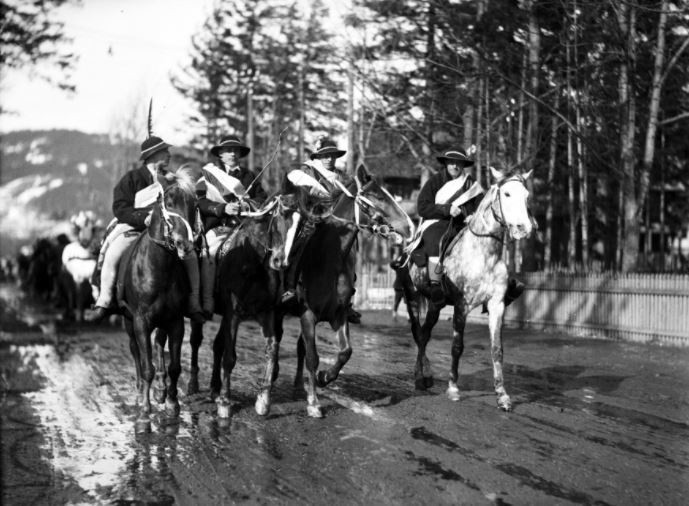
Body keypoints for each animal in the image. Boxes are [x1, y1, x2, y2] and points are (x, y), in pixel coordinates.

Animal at [117, 169, 199, 426]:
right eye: (169, 203)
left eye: (194, 204)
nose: (185, 243)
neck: (160, 268)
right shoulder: (141, 321)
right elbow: (146, 367)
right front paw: (144, 412)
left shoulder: (175, 321)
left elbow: (174, 366)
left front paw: (172, 404)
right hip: (129, 321)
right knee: (136, 352)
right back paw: (139, 391)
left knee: (159, 345)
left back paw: (161, 391)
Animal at [276, 164, 416, 418]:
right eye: (378, 196)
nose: (409, 226)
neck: (330, 259)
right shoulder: (308, 315)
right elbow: (313, 357)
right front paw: (314, 402)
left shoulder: (338, 314)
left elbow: (345, 352)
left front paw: (323, 378)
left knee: (301, 348)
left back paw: (300, 384)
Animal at [398, 168, 532, 414]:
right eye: (507, 193)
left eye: (526, 195)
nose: (523, 228)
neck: (484, 255)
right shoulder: (462, 306)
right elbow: (457, 346)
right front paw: (453, 388)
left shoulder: (497, 305)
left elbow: (497, 349)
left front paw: (502, 396)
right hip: (411, 296)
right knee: (419, 333)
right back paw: (419, 377)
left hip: (436, 304)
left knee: (424, 334)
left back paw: (425, 375)